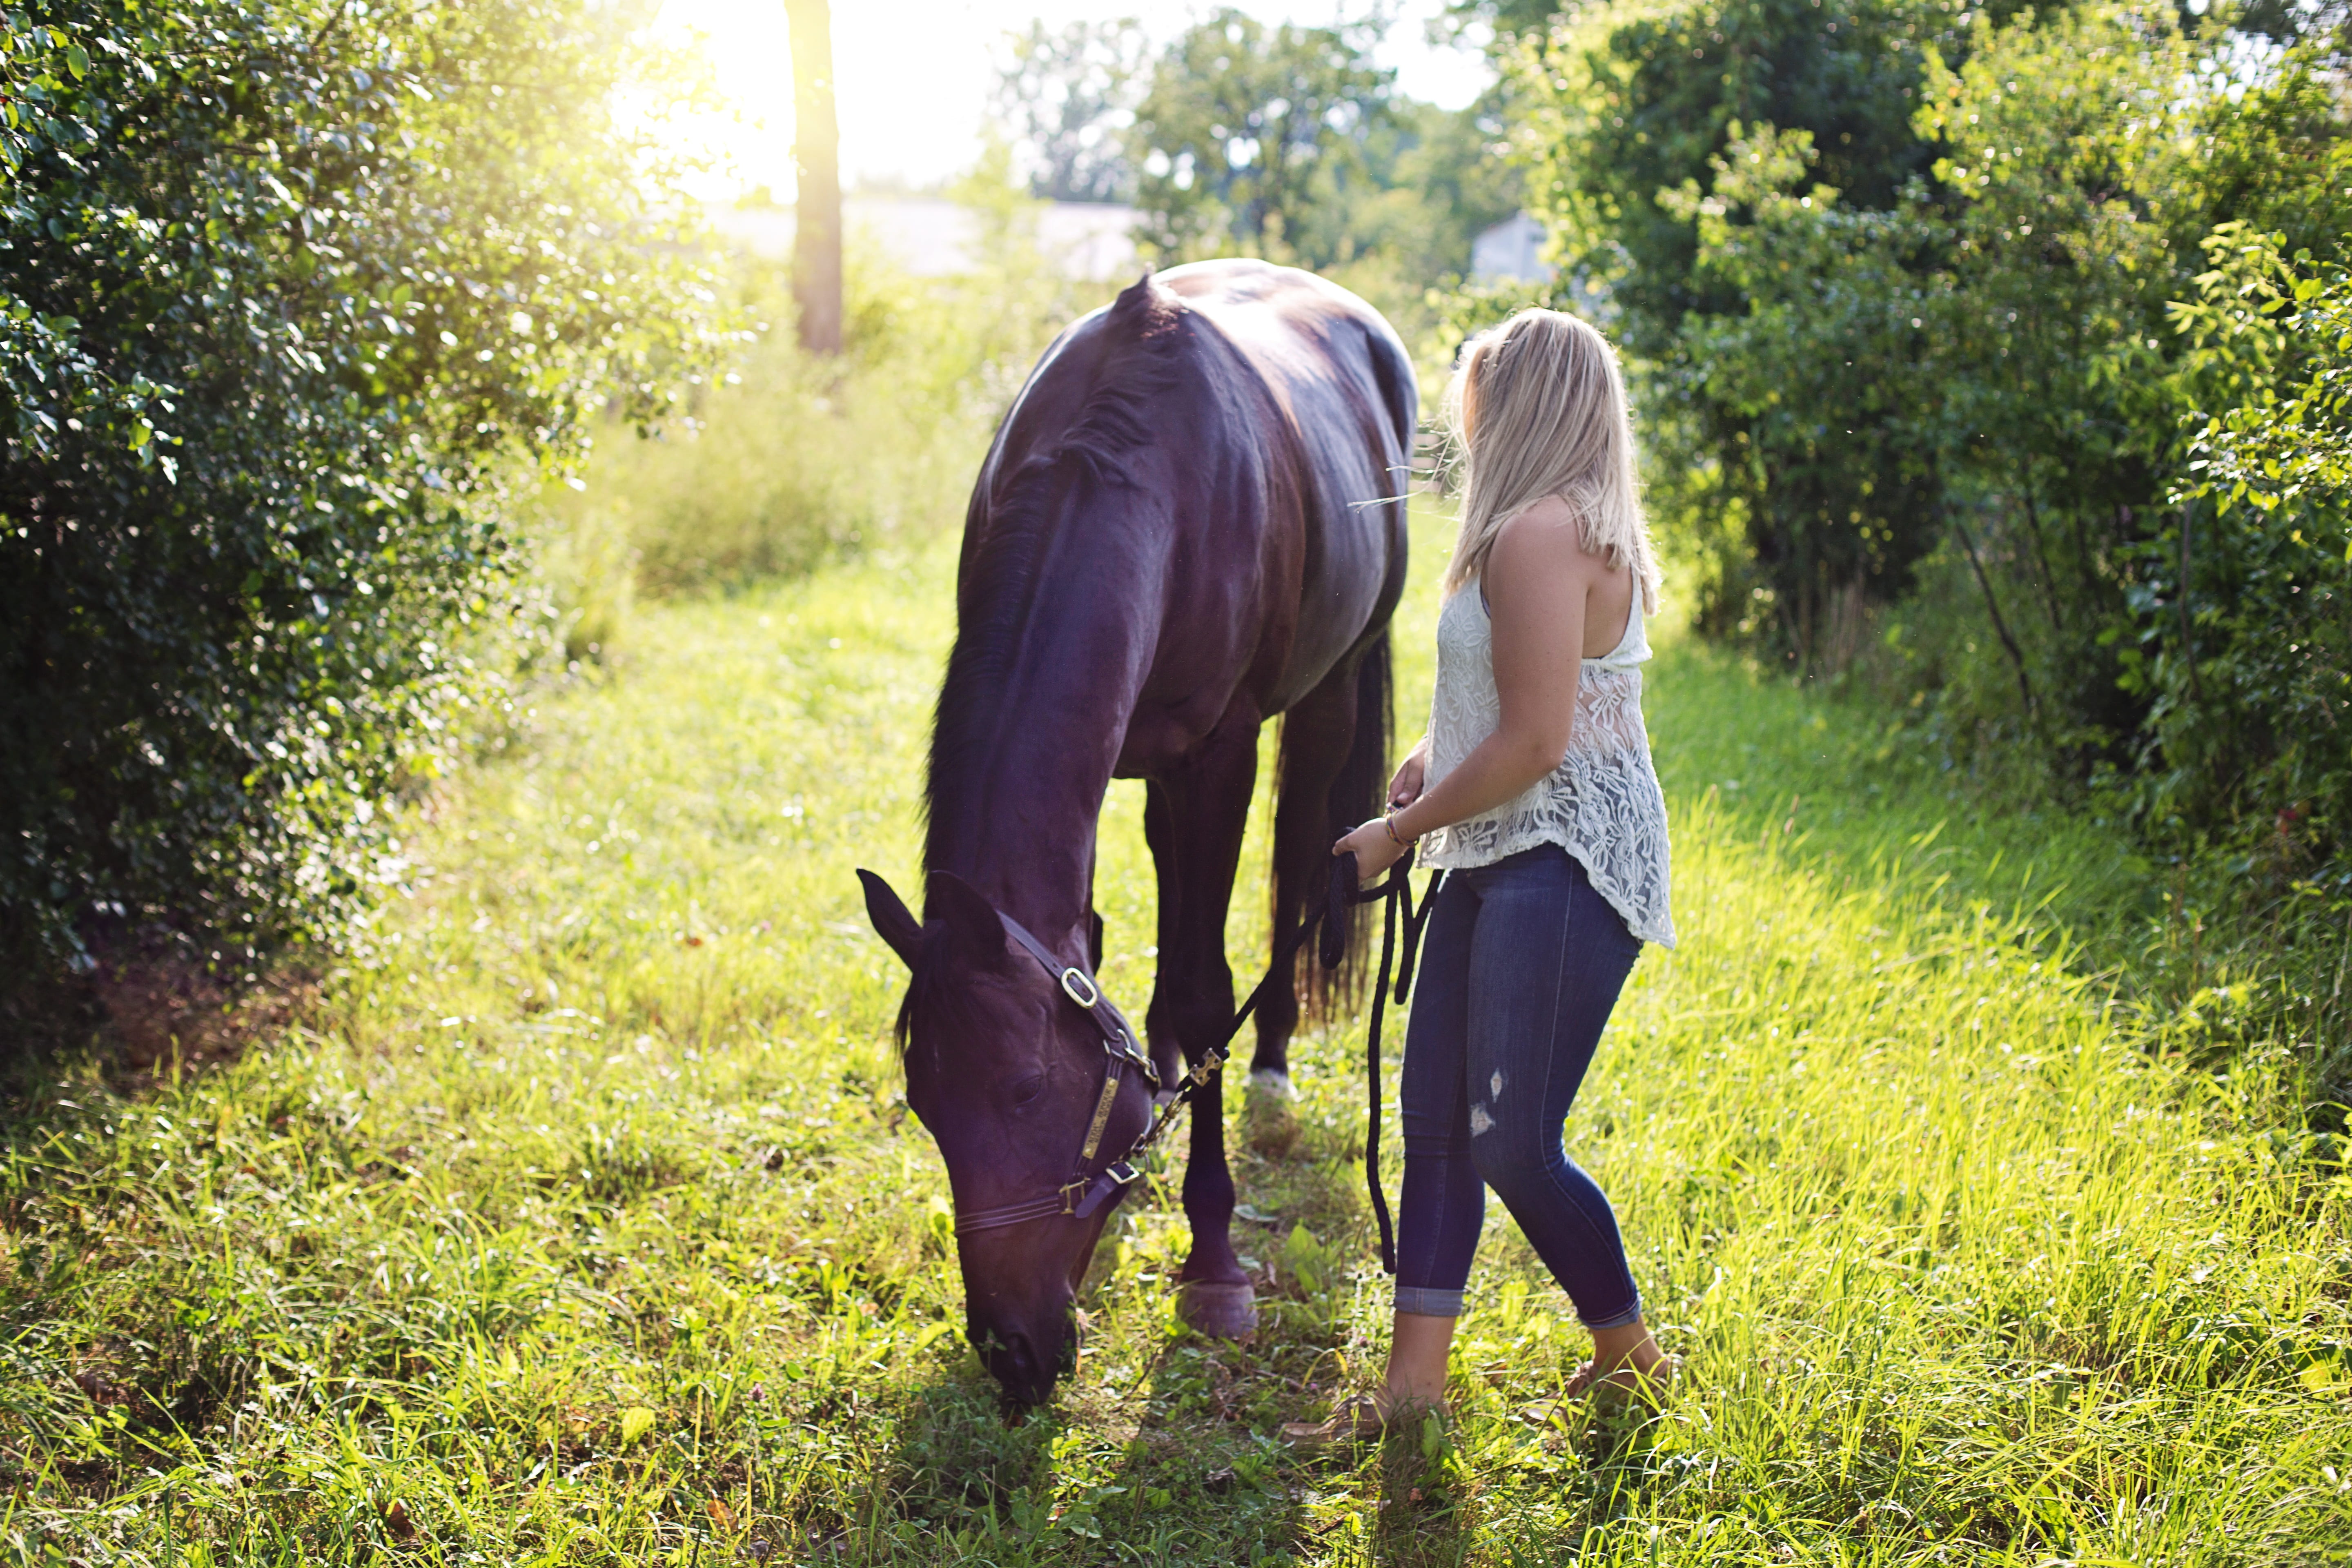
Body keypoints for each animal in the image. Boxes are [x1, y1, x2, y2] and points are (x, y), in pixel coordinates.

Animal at [858, 259, 1415, 1405]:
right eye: (922, 1102)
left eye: (1024, 1090)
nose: (1011, 1352)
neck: (1136, 469)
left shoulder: (1220, 755)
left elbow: (1205, 988)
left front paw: (1214, 1262)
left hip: (1327, 695)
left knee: (1304, 857)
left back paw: (1269, 1062)